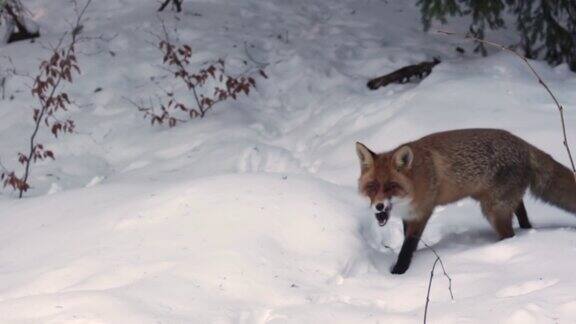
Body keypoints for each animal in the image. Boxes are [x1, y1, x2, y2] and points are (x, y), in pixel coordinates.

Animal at [356, 128, 576, 274]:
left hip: (493, 210)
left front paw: (400, 269)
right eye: (372, 187)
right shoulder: (408, 215)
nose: (379, 206)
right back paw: (527, 230)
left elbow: (408, 244)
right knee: (521, 210)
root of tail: (522, 142)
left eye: (391, 186)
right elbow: (407, 239)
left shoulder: (422, 212)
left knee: (510, 233)